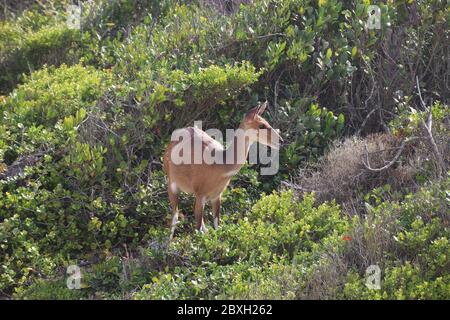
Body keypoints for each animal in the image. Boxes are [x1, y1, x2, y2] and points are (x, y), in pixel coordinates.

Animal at [162, 101, 282, 239]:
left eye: (267, 122)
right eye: (262, 125)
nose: (281, 140)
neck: (221, 166)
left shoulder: (216, 195)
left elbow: (216, 225)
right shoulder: (200, 193)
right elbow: (197, 230)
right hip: (171, 183)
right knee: (175, 215)